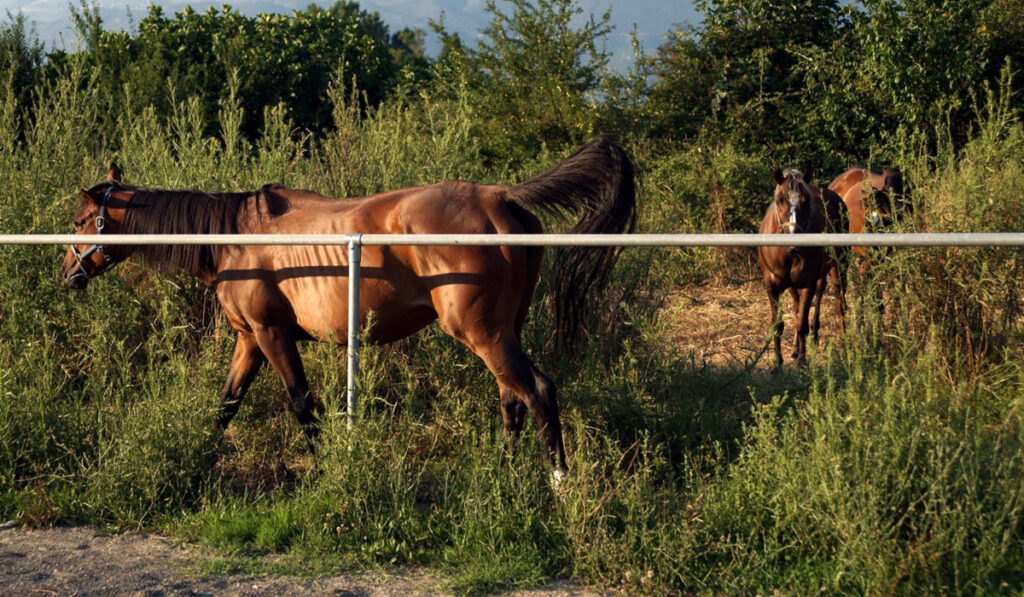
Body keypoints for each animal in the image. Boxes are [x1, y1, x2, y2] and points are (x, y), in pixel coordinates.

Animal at [761, 165, 847, 366]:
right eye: (780, 200)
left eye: (806, 201)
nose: (794, 243)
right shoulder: (772, 285)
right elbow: (780, 324)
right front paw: (778, 362)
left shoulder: (808, 283)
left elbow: (802, 324)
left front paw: (802, 361)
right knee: (798, 306)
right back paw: (796, 347)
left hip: (838, 267)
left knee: (839, 302)